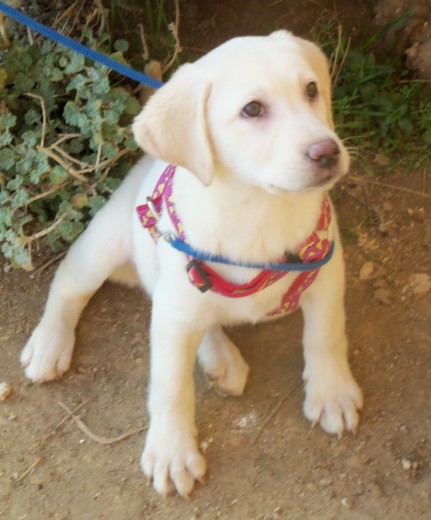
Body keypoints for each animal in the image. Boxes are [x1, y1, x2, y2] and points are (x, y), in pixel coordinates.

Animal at [21, 30, 364, 498]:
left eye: (312, 90)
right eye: (252, 109)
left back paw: (221, 358)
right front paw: (171, 452)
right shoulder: (173, 317)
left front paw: (332, 392)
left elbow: (326, 334)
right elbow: (171, 386)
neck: (258, 209)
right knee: (70, 283)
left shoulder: (327, 272)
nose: (327, 152)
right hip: (108, 244)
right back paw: (49, 342)